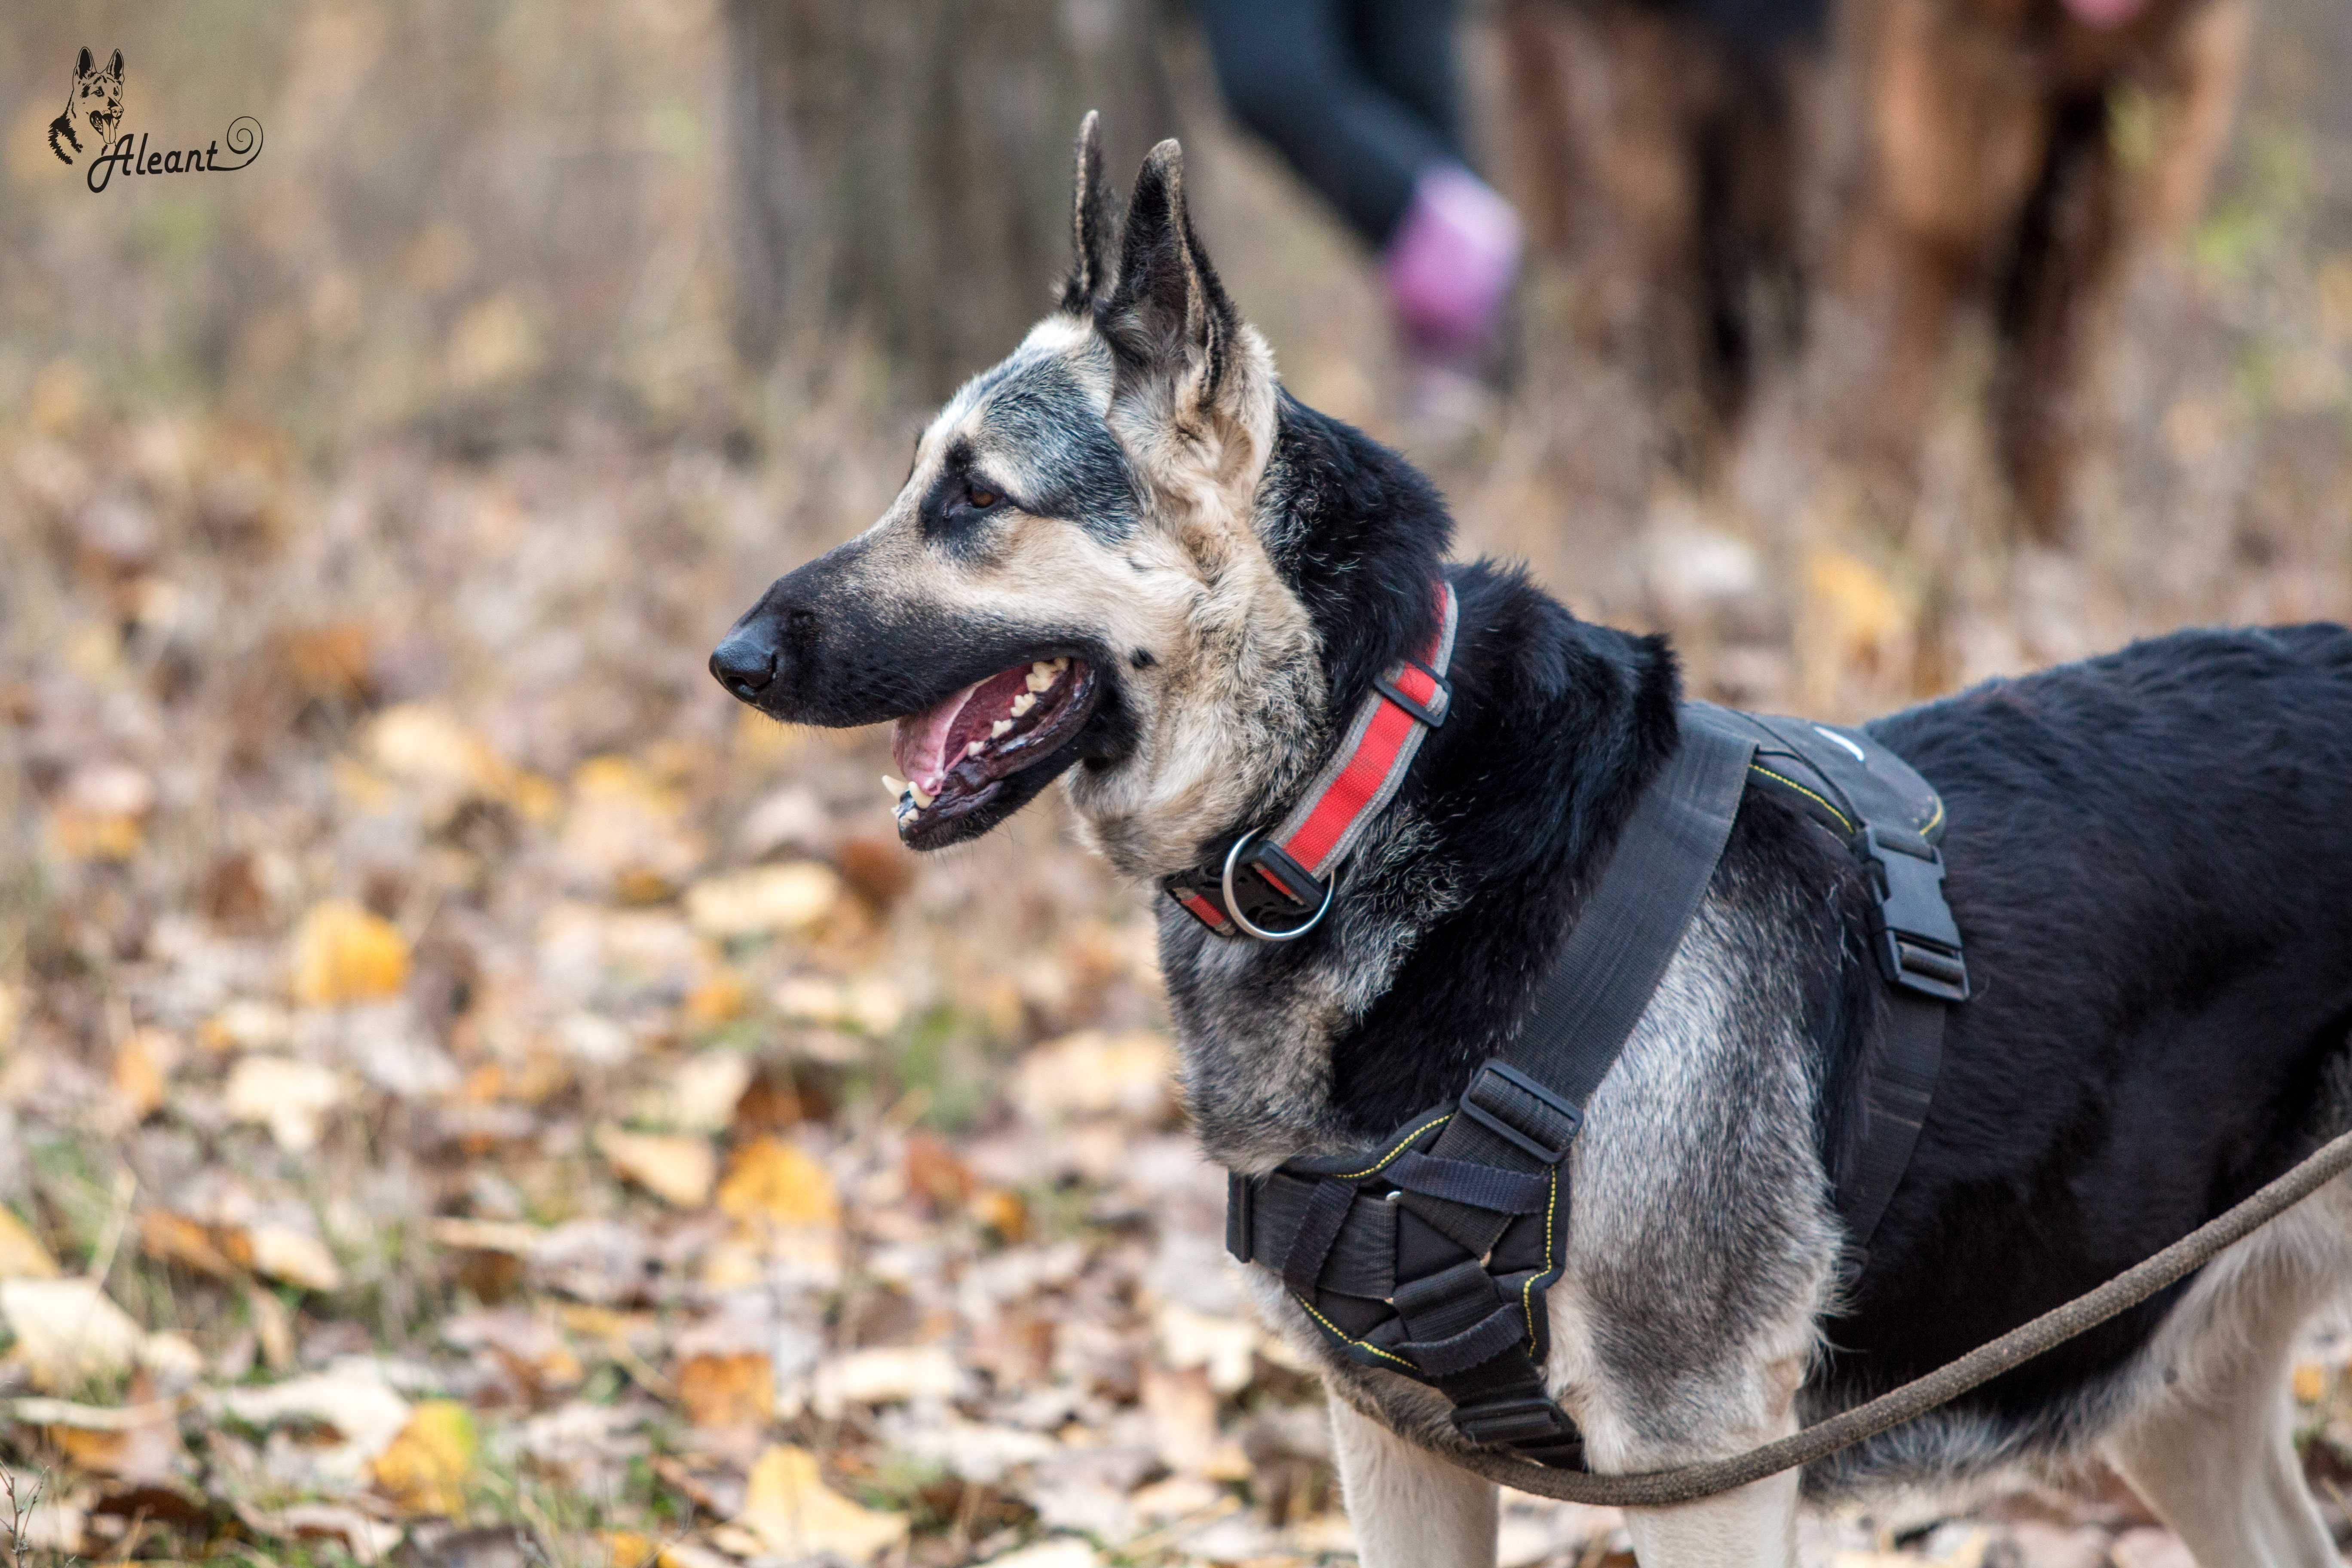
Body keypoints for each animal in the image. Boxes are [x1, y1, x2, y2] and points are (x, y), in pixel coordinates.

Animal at [705, 122, 2352, 1568]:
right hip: (2173, 1397)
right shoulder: (1396, 1444)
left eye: (975, 497)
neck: (1360, 780)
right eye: (919, 480)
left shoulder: (1702, 1457)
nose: (732, 658)